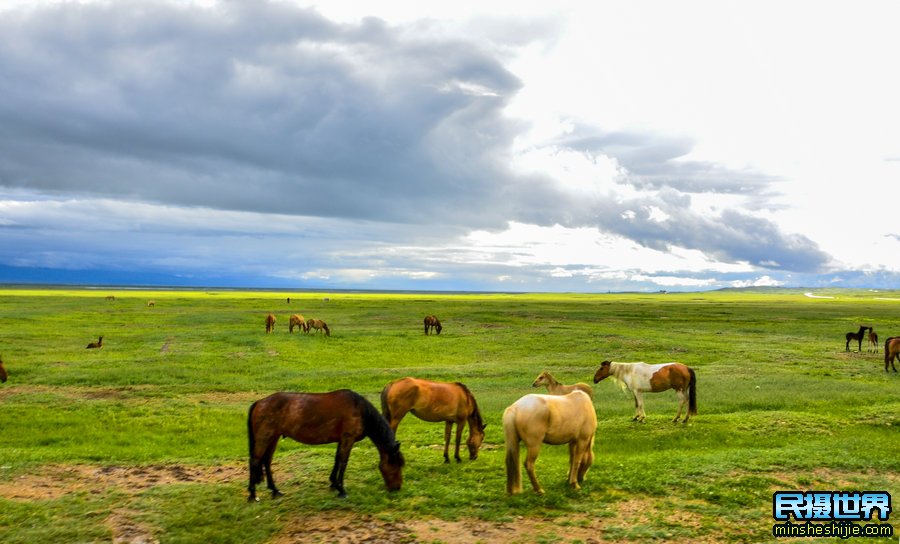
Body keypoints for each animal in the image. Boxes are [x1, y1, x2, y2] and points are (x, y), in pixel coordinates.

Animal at [244, 388, 402, 500]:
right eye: (396, 465)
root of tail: (259, 402)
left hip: (273, 438)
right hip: (264, 438)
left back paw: (275, 490)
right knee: (255, 461)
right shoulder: (348, 438)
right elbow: (343, 462)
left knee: (266, 461)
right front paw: (341, 490)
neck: (360, 410)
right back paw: (252, 494)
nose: (397, 488)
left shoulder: (341, 440)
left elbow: (337, 459)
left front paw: (333, 484)